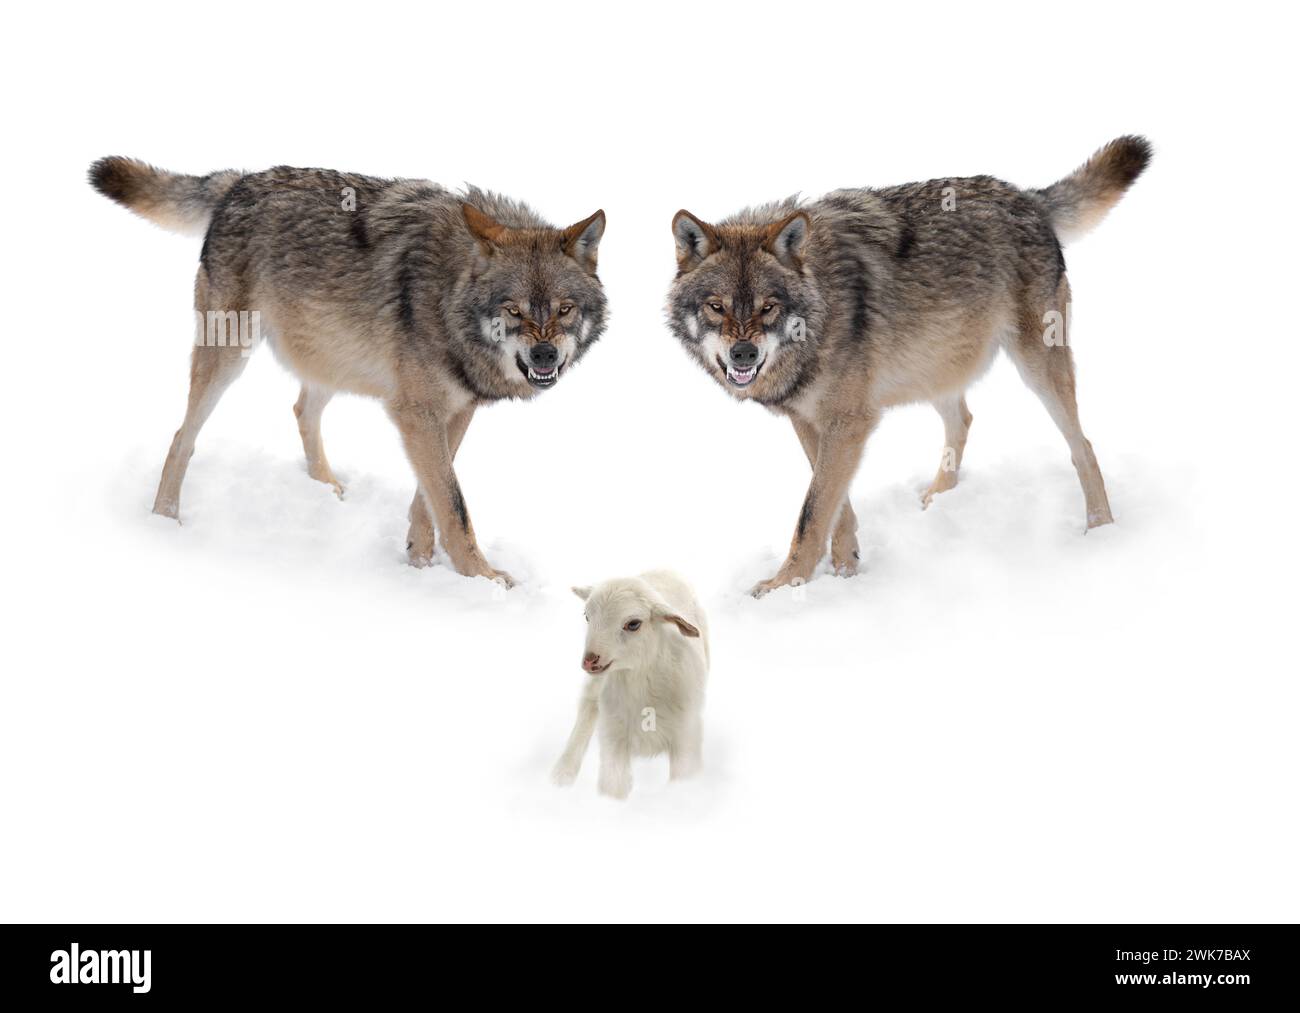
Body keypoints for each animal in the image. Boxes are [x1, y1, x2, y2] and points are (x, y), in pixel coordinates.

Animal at [89, 157, 608, 585]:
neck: (449, 294)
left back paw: (326, 487)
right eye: (514, 311)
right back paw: (165, 519)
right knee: (183, 436)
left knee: (301, 409)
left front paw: (419, 562)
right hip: (229, 356)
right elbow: (453, 505)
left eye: (564, 309)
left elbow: (430, 498)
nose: (545, 357)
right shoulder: (416, 413)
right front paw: (481, 578)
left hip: (331, 356)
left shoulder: (454, 412)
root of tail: (240, 181)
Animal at [552, 570, 709, 799]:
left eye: (633, 624)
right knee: (587, 706)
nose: (589, 660)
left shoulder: (686, 738)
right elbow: (613, 788)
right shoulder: (612, 738)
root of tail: (662, 569)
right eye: (587, 617)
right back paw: (562, 773)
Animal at [665, 136, 1152, 595]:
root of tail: (1027, 197)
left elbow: (813, 512)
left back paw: (1100, 528)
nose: (743, 355)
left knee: (1082, 445)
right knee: (964, 419)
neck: (822, 305)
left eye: (768, 307)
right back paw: (937, 499)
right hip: (934, 365)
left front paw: (785, 586)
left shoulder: (849, 422)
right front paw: (845, 570)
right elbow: (836, 506)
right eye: (716, 307)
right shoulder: (811, 423)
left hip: (1036, 368)